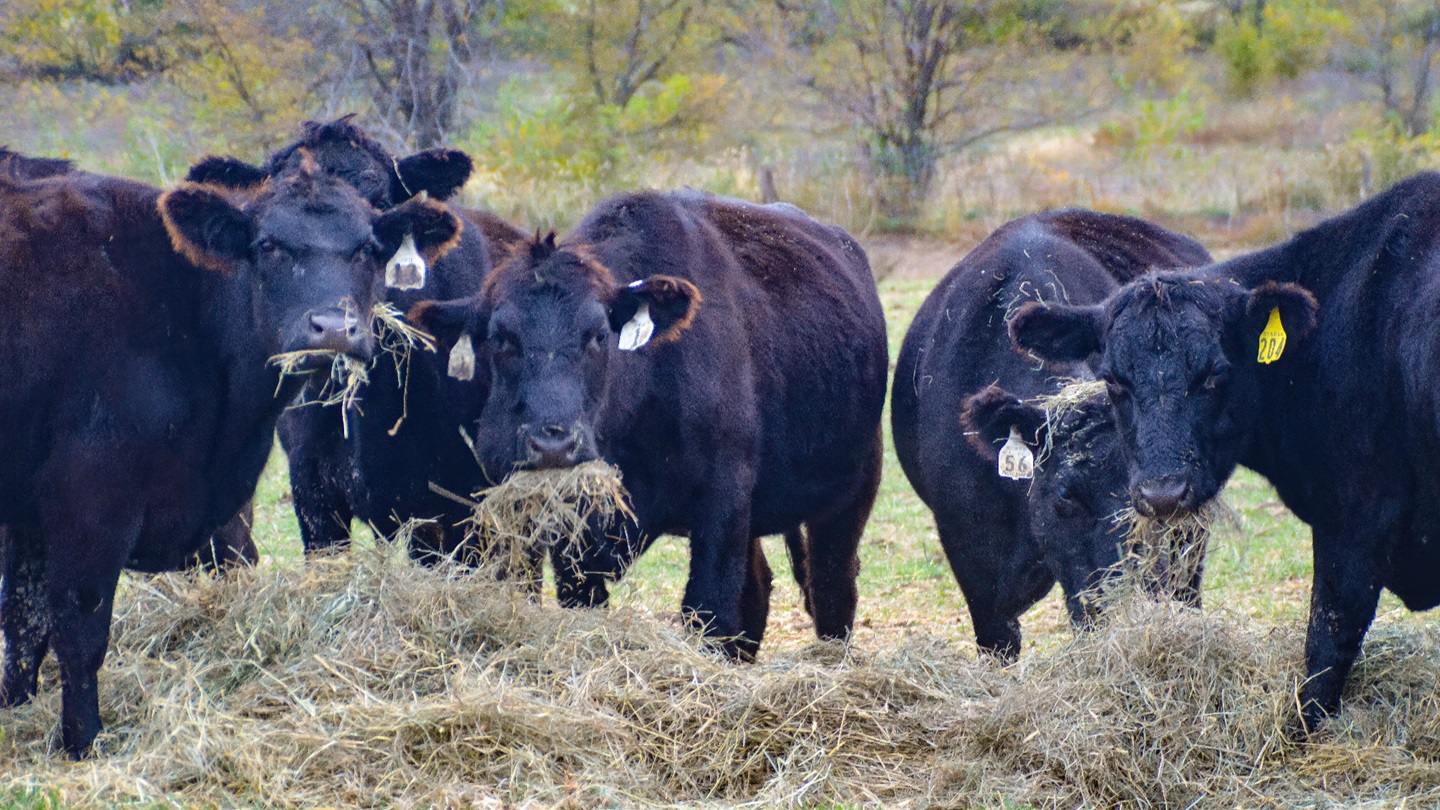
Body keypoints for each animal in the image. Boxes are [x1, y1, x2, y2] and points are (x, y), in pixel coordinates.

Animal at [0, 151, 461, 757]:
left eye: (367, 248)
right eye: (267, 245)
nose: (333, 329)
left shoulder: (28, 510)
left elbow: (23, 625)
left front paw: (18, 716)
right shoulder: (90, 499)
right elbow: (79, 633)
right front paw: (83, 745)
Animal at [409, 191, 889, 658]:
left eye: (598, 335)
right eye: (500, 338)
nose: (553, 444)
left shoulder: (724, 496)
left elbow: (709, 610)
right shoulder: (571, 530)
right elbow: (583, 602)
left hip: (852, 492)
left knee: (831, 588)